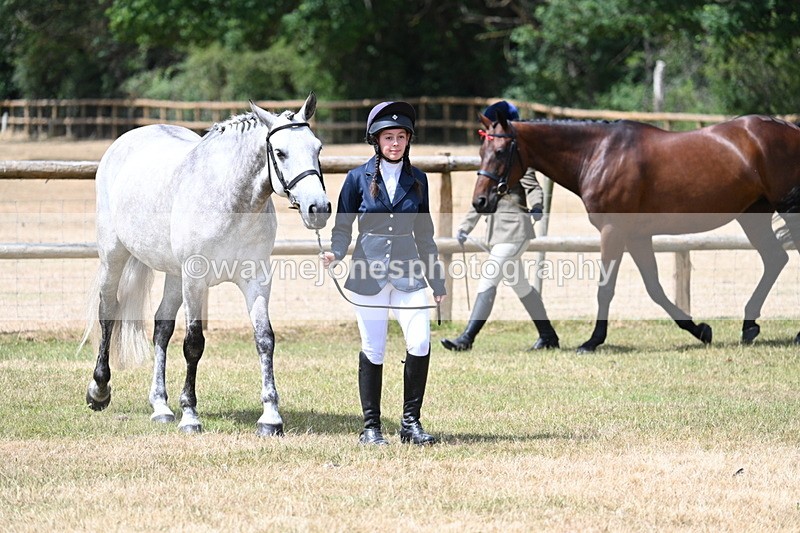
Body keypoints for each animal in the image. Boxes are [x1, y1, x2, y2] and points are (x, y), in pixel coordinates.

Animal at [82, 92, 331, 435]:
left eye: (318, 148)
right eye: (280, 152)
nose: (318, 208)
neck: (229, 201)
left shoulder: (256, 279)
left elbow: (264, 339)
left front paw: (270, 418)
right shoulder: (195, 280)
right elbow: (193, 344)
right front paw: (190, 415)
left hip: (174, 275)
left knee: (161, 329)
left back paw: (161, 406)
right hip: (114, 256)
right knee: (108, 312)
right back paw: (99, 390)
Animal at [473, 112, 800, 353]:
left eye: (500, 151)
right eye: (480, 151)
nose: (480, 201)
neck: (598, 154)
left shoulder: (613, 231)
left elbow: (605, 287)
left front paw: (592, 341)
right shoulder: (637, 236)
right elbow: (654, 288)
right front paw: (700, 330)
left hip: (787, 211)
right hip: (752, 216)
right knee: (775, 259)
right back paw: (749, 325)